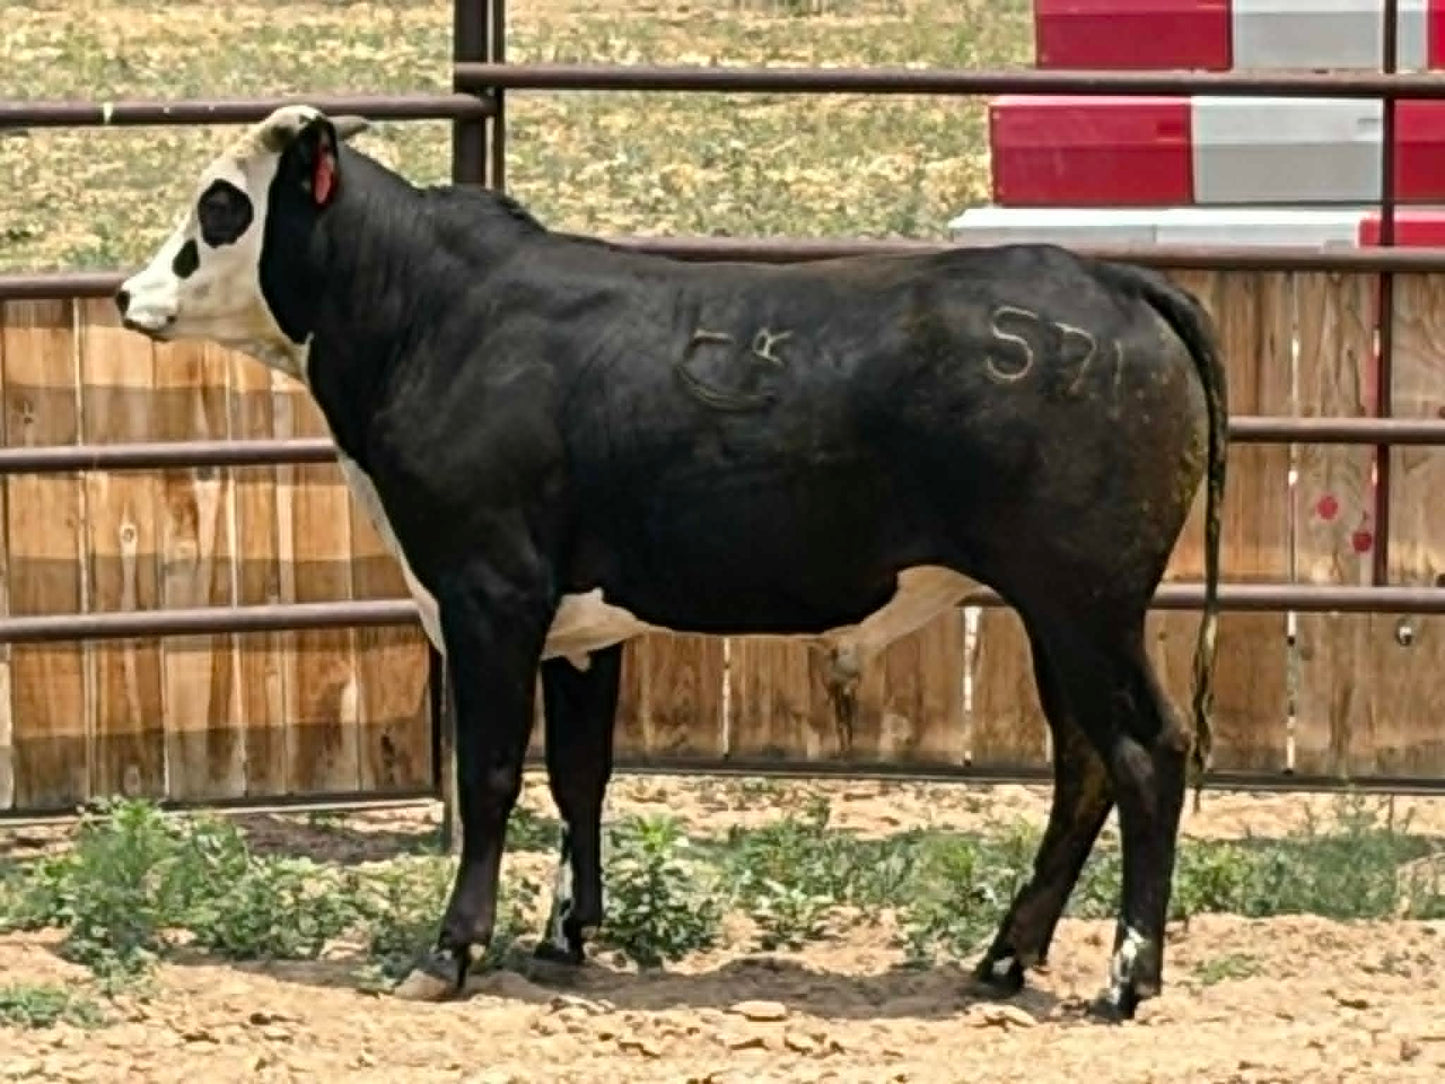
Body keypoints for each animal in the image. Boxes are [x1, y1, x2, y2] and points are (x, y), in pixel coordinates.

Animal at [115, 104, 1226, 1020]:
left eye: (221, 206)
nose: (129, 294)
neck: (435, 318)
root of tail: (1103, 278)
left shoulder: (488, 599)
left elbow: (488, 777)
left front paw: (451, 951)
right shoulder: (578, 627)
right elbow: (578, 775)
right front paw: (564, 936)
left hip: (1086, 605)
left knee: (1146, 752)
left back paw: (1124, 977)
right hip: (1055, 615)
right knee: (1083, 764)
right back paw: (1002, 955)